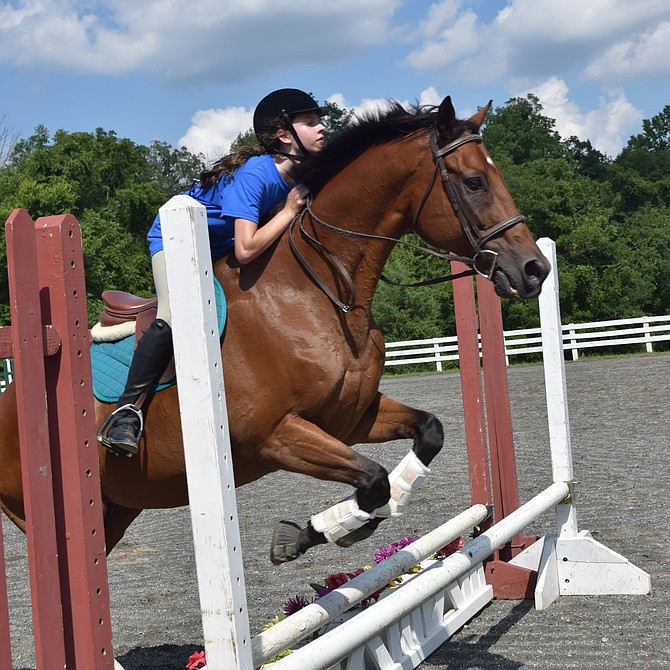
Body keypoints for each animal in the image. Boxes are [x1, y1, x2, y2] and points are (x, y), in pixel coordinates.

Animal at [0, 96, 552, 568]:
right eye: (474, 182)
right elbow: (372, 478)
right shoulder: (272, 435)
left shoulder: (350, 419)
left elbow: (427, 434)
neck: (320, 291)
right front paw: (323, 529)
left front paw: (334, 527)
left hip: (117, 509)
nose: (535, 270)